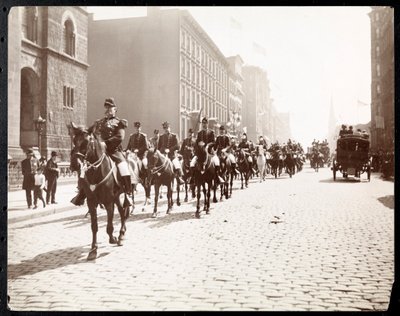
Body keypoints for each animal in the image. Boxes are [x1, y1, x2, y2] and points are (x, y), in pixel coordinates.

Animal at [70, 127, 129, 260]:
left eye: (86, 142)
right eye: (74, 140)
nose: (75, 164)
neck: (96, 171)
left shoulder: (108, 202)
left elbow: (109, 225)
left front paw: (113, 238)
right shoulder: (91, 203)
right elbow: (94, 226)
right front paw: (93, 249)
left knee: (122, 211)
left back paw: (121, 236)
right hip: (116, 197)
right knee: (122, 211)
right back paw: (121, 233)